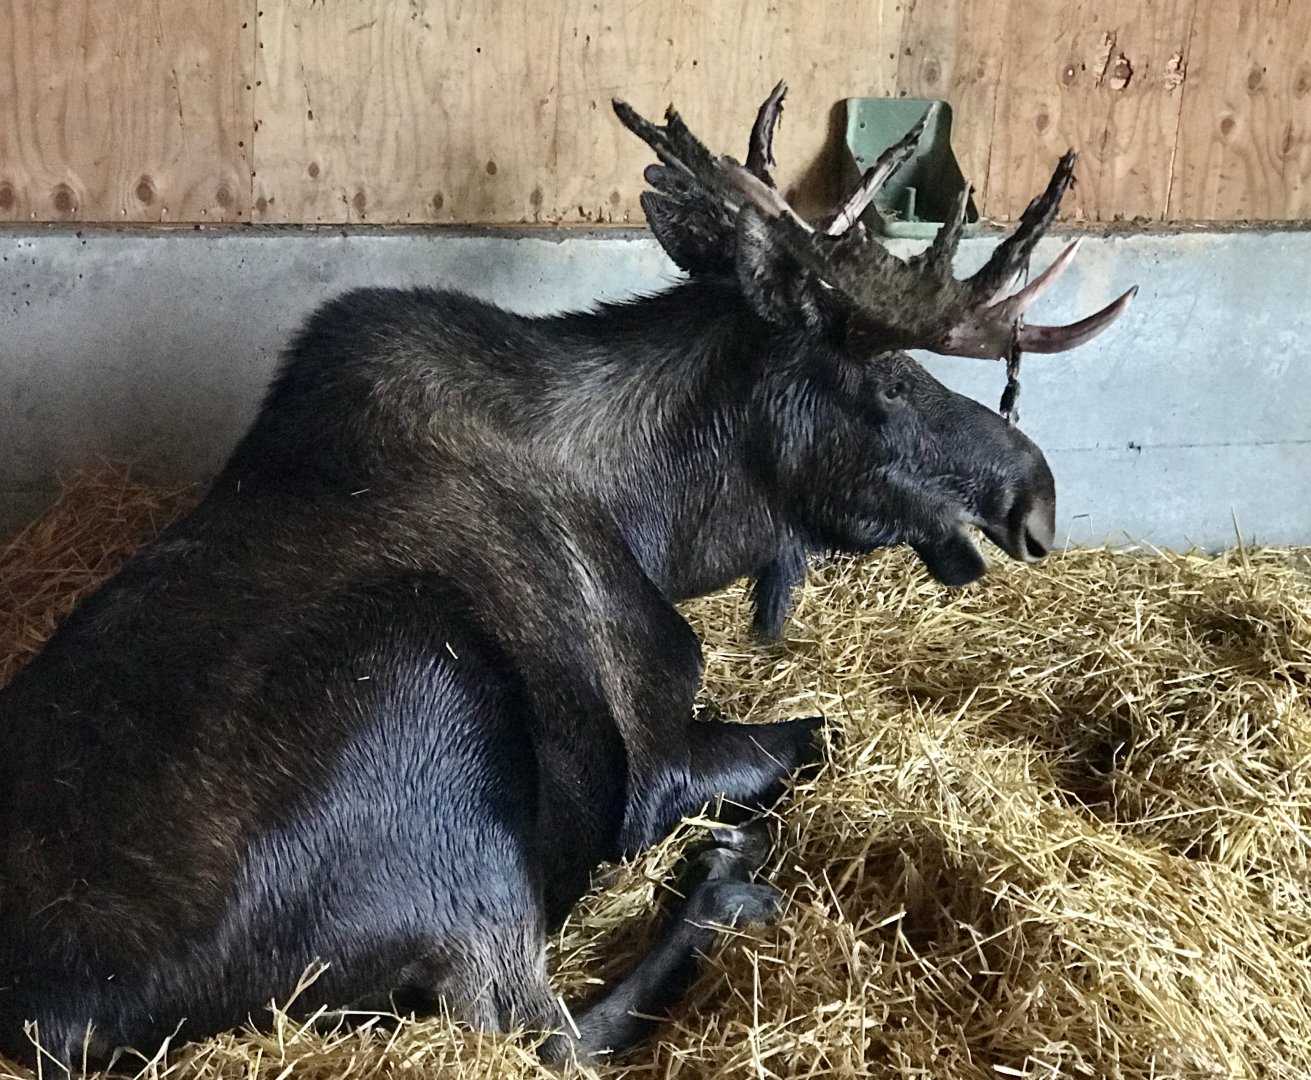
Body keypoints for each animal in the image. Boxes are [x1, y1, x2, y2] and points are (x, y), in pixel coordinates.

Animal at [0, 83, 1134, 1070]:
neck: (663, 524)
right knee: (543, 1036)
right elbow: (822, 739)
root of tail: (56, 1026)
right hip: (445, 737)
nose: (1036, 494)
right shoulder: (651, 759)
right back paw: (724, 886)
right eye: (891, 380)